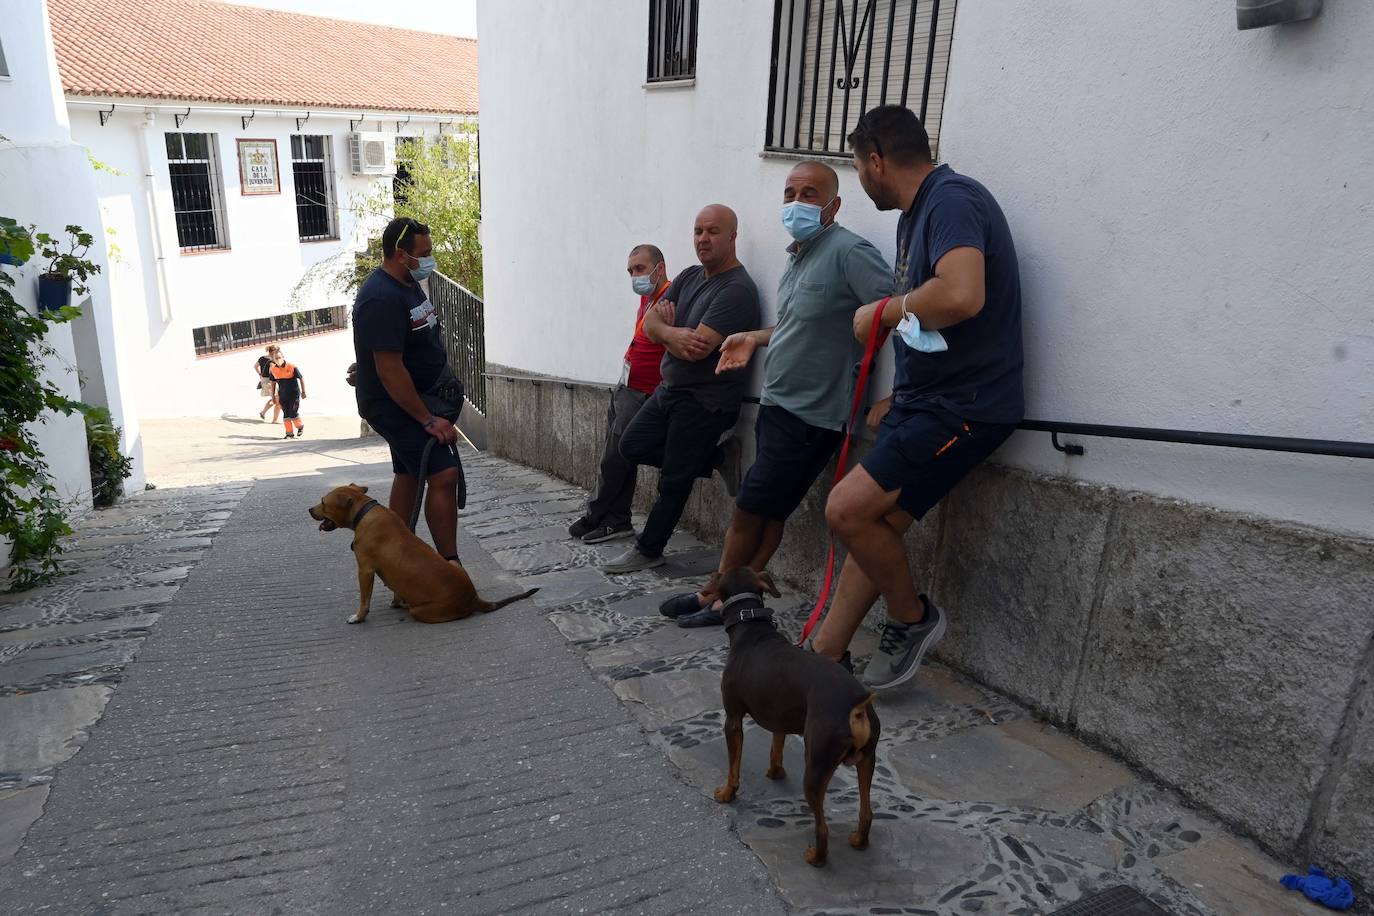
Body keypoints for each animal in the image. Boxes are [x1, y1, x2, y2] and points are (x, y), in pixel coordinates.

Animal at [306, 483, 535, 626]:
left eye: (323, 502)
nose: (309, 509)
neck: (364, 511)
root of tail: (473, 598)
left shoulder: (365, 571)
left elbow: (365, 600)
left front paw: (358, 617)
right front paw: (396, 600)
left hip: (422, 610)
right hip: (453, 564)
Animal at [714, 565, 873, 867]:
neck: (752, 629)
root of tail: (856, 706)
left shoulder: (733, 719)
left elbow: (733, 767)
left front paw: (727, 794)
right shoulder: (781, 718)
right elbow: (776, 747)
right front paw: (776, 772)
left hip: (816, 766)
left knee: (822, 828)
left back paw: (815, 857)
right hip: (866, 761)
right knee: (867, 812)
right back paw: (859, 841)